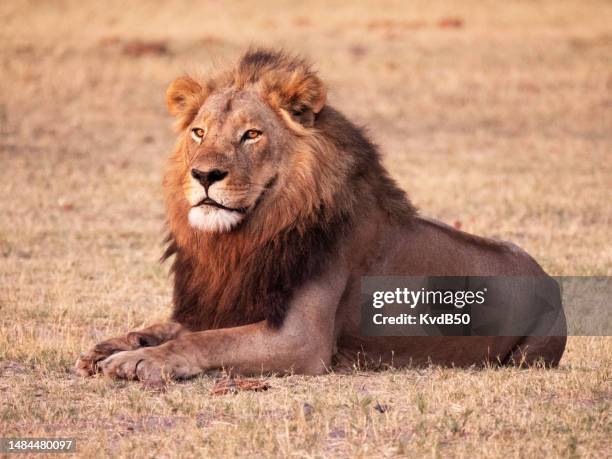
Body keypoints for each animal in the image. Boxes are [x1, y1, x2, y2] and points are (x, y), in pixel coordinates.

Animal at [75, 48, 564, 382]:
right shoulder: (223, 300)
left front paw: (140, 360)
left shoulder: (301, 340)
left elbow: (205, 339)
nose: (205, 174)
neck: (245, 238)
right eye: (199, 132)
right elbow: (166, 326)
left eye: (251, 135)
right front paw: (110, 347)